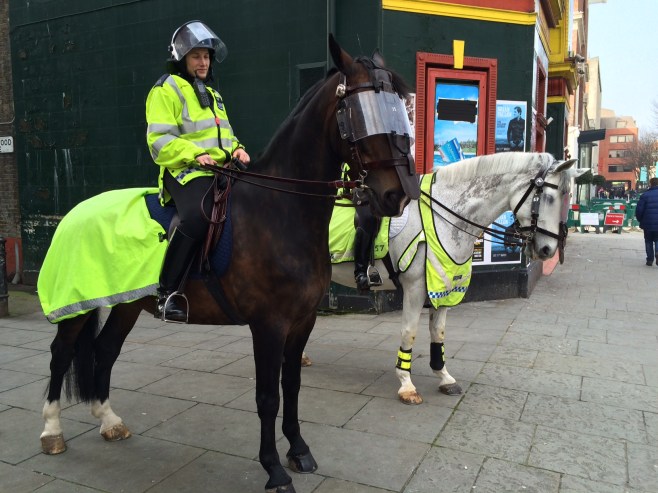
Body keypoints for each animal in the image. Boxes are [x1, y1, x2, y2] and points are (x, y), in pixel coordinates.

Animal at [36, 35, 420, 493]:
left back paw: (108, 420)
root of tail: (75, 211)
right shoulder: (268, 324)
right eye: (361, 113)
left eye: (399, 108)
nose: (399, 193)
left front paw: (299, 450)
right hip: (76, 304)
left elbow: (292, 386)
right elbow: (268, 396)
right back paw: (52, 431)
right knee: (61, 353)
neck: (281, 211)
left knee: (106, 349)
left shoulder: (302, 321)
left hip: (129, 303)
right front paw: (273, 468)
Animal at [329, 152, 581, 404]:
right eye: (549, 197)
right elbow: (409, 332)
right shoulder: (415, 287)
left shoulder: (442, 285)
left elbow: (438, 331)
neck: (444, 215)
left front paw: (444, 377)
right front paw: (406, 384)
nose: (549, 249)